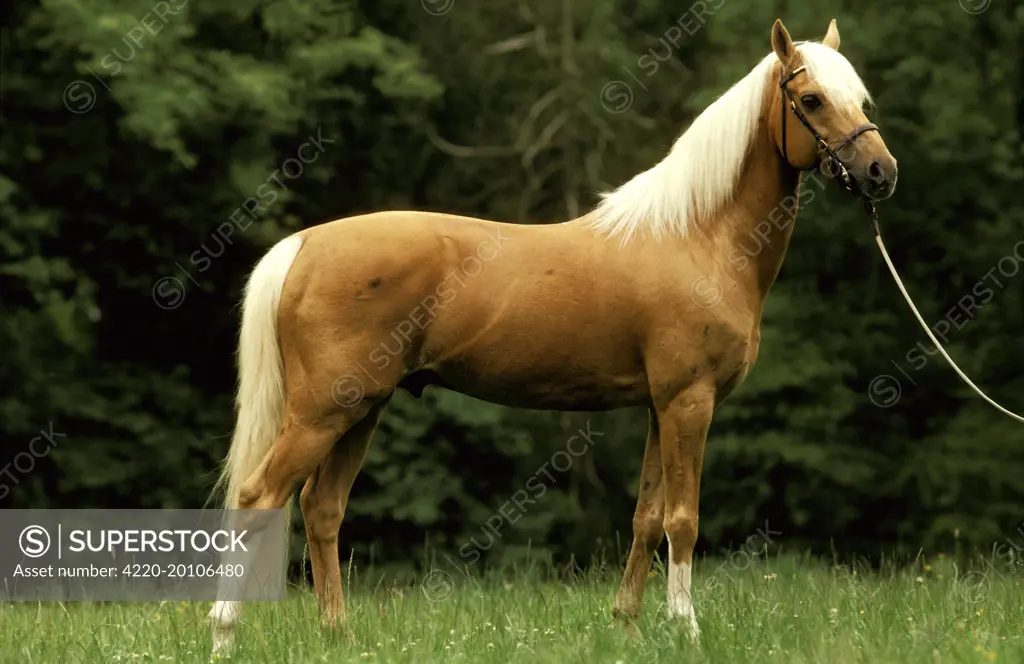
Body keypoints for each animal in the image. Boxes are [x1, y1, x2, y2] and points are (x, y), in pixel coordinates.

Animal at [207, 18, 897, 655]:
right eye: (810, 99)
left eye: (863, 100)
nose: (880, 172)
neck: (697, 236)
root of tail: (304, 244)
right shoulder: (688, 402)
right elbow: (683, 520)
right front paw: (687, 630)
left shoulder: (659, 407)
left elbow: (647, 517)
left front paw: (626, 625)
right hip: (324, 411)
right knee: (259, 496)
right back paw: (223, 634)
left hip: (361, 411)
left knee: (321, 509)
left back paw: (339, 635)